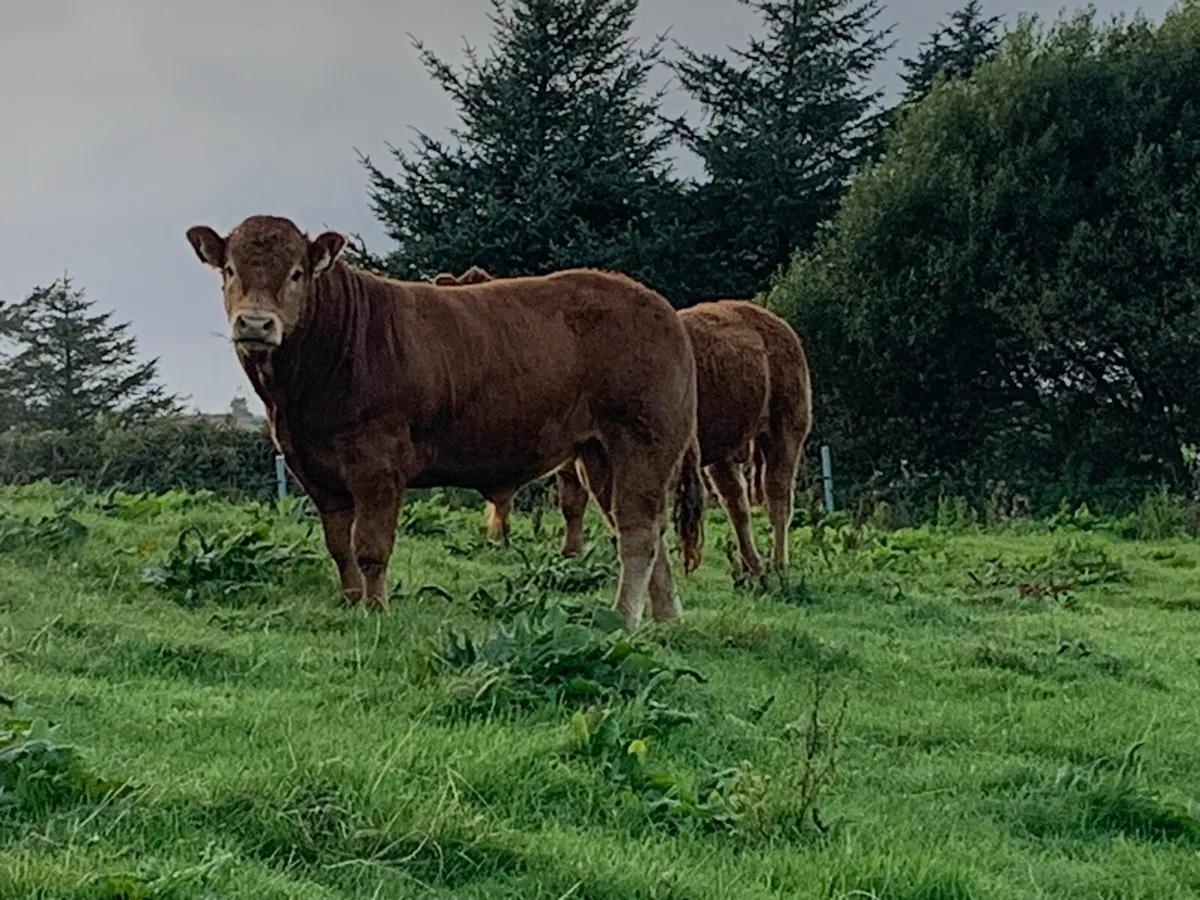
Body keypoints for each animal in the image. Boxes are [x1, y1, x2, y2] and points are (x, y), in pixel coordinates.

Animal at [184, 216, 704, 630]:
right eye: (229, 270)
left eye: (296, 273)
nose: (255, 324)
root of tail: (659, 307)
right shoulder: (313, 468)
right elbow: (339, 546)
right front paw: (350, 604)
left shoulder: (378, 463)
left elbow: (370, 546)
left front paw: (375, 610)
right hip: (599, 453)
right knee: (646, 527)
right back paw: (666, 619)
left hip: (642, 439)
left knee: (637, 532)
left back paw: (623, 618)